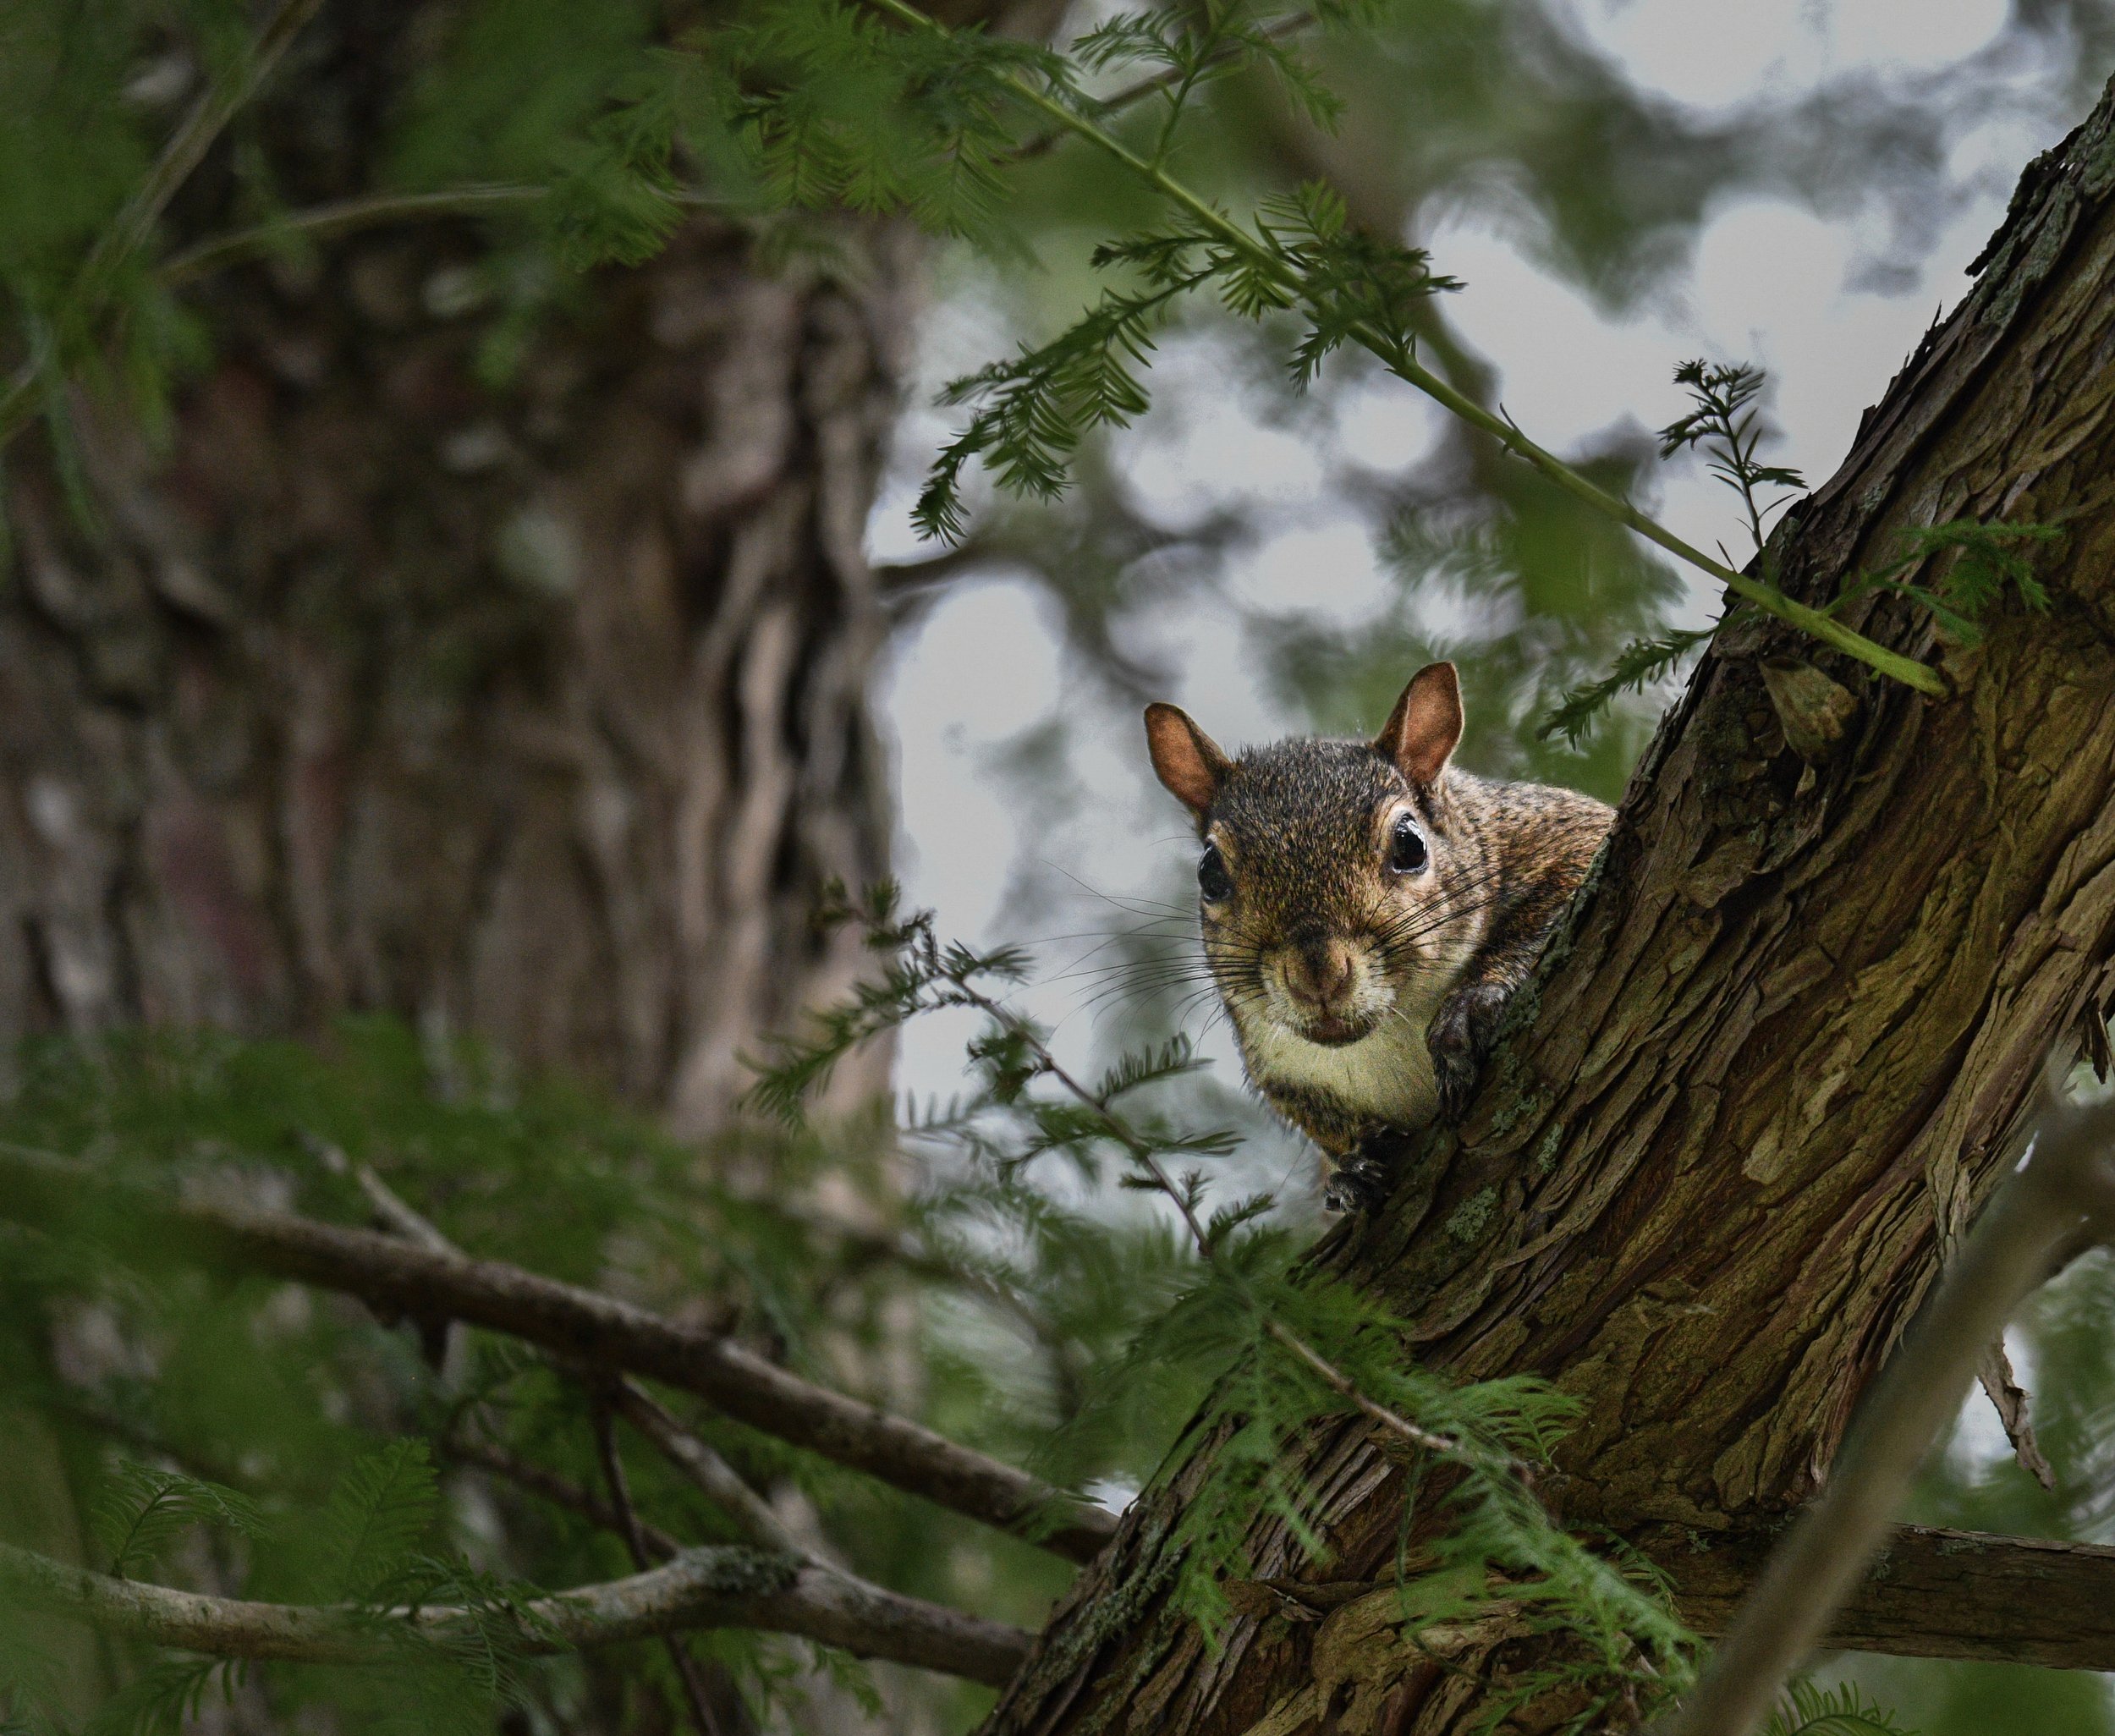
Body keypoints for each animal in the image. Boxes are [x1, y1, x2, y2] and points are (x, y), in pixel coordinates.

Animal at [1143, 662, 1612, 1211]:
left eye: (1410, 845)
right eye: (1209, 873)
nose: (1317, 976)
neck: (1390, 1033)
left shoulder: (1565, 833)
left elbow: (1555, 894)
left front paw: (1469, 1005)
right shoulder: (1279, 1071)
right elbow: (1318, 1120)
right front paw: (1352, 1167)